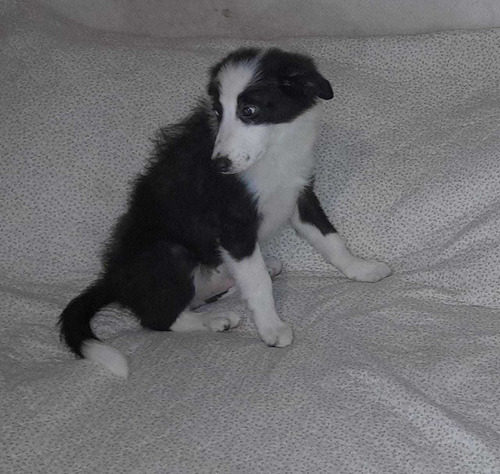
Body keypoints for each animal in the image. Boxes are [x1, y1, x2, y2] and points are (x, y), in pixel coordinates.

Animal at [58, 48, 392, 378]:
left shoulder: (300, 193)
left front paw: (362, 269)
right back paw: (214, 320)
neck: (274, 151)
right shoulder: (233, 224)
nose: (219, 164)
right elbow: (257, 283)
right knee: (159, 318)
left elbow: (330, 239)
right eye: (218, 113)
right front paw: (272, 329)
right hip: (169, 253)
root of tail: (113, 280)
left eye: (249, 110)